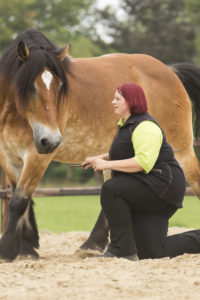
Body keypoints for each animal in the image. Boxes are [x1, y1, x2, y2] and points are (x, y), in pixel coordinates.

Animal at [0, 28, 200, 260]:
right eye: (30, 87)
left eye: (60, 87)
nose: (50, 141)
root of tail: (170, 71)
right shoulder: (9, 158)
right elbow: (21, 201)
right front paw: (25, 249)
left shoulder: (37, 157)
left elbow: (19, 201)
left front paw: (7, 250)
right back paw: (91, 244)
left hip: (181, 149)